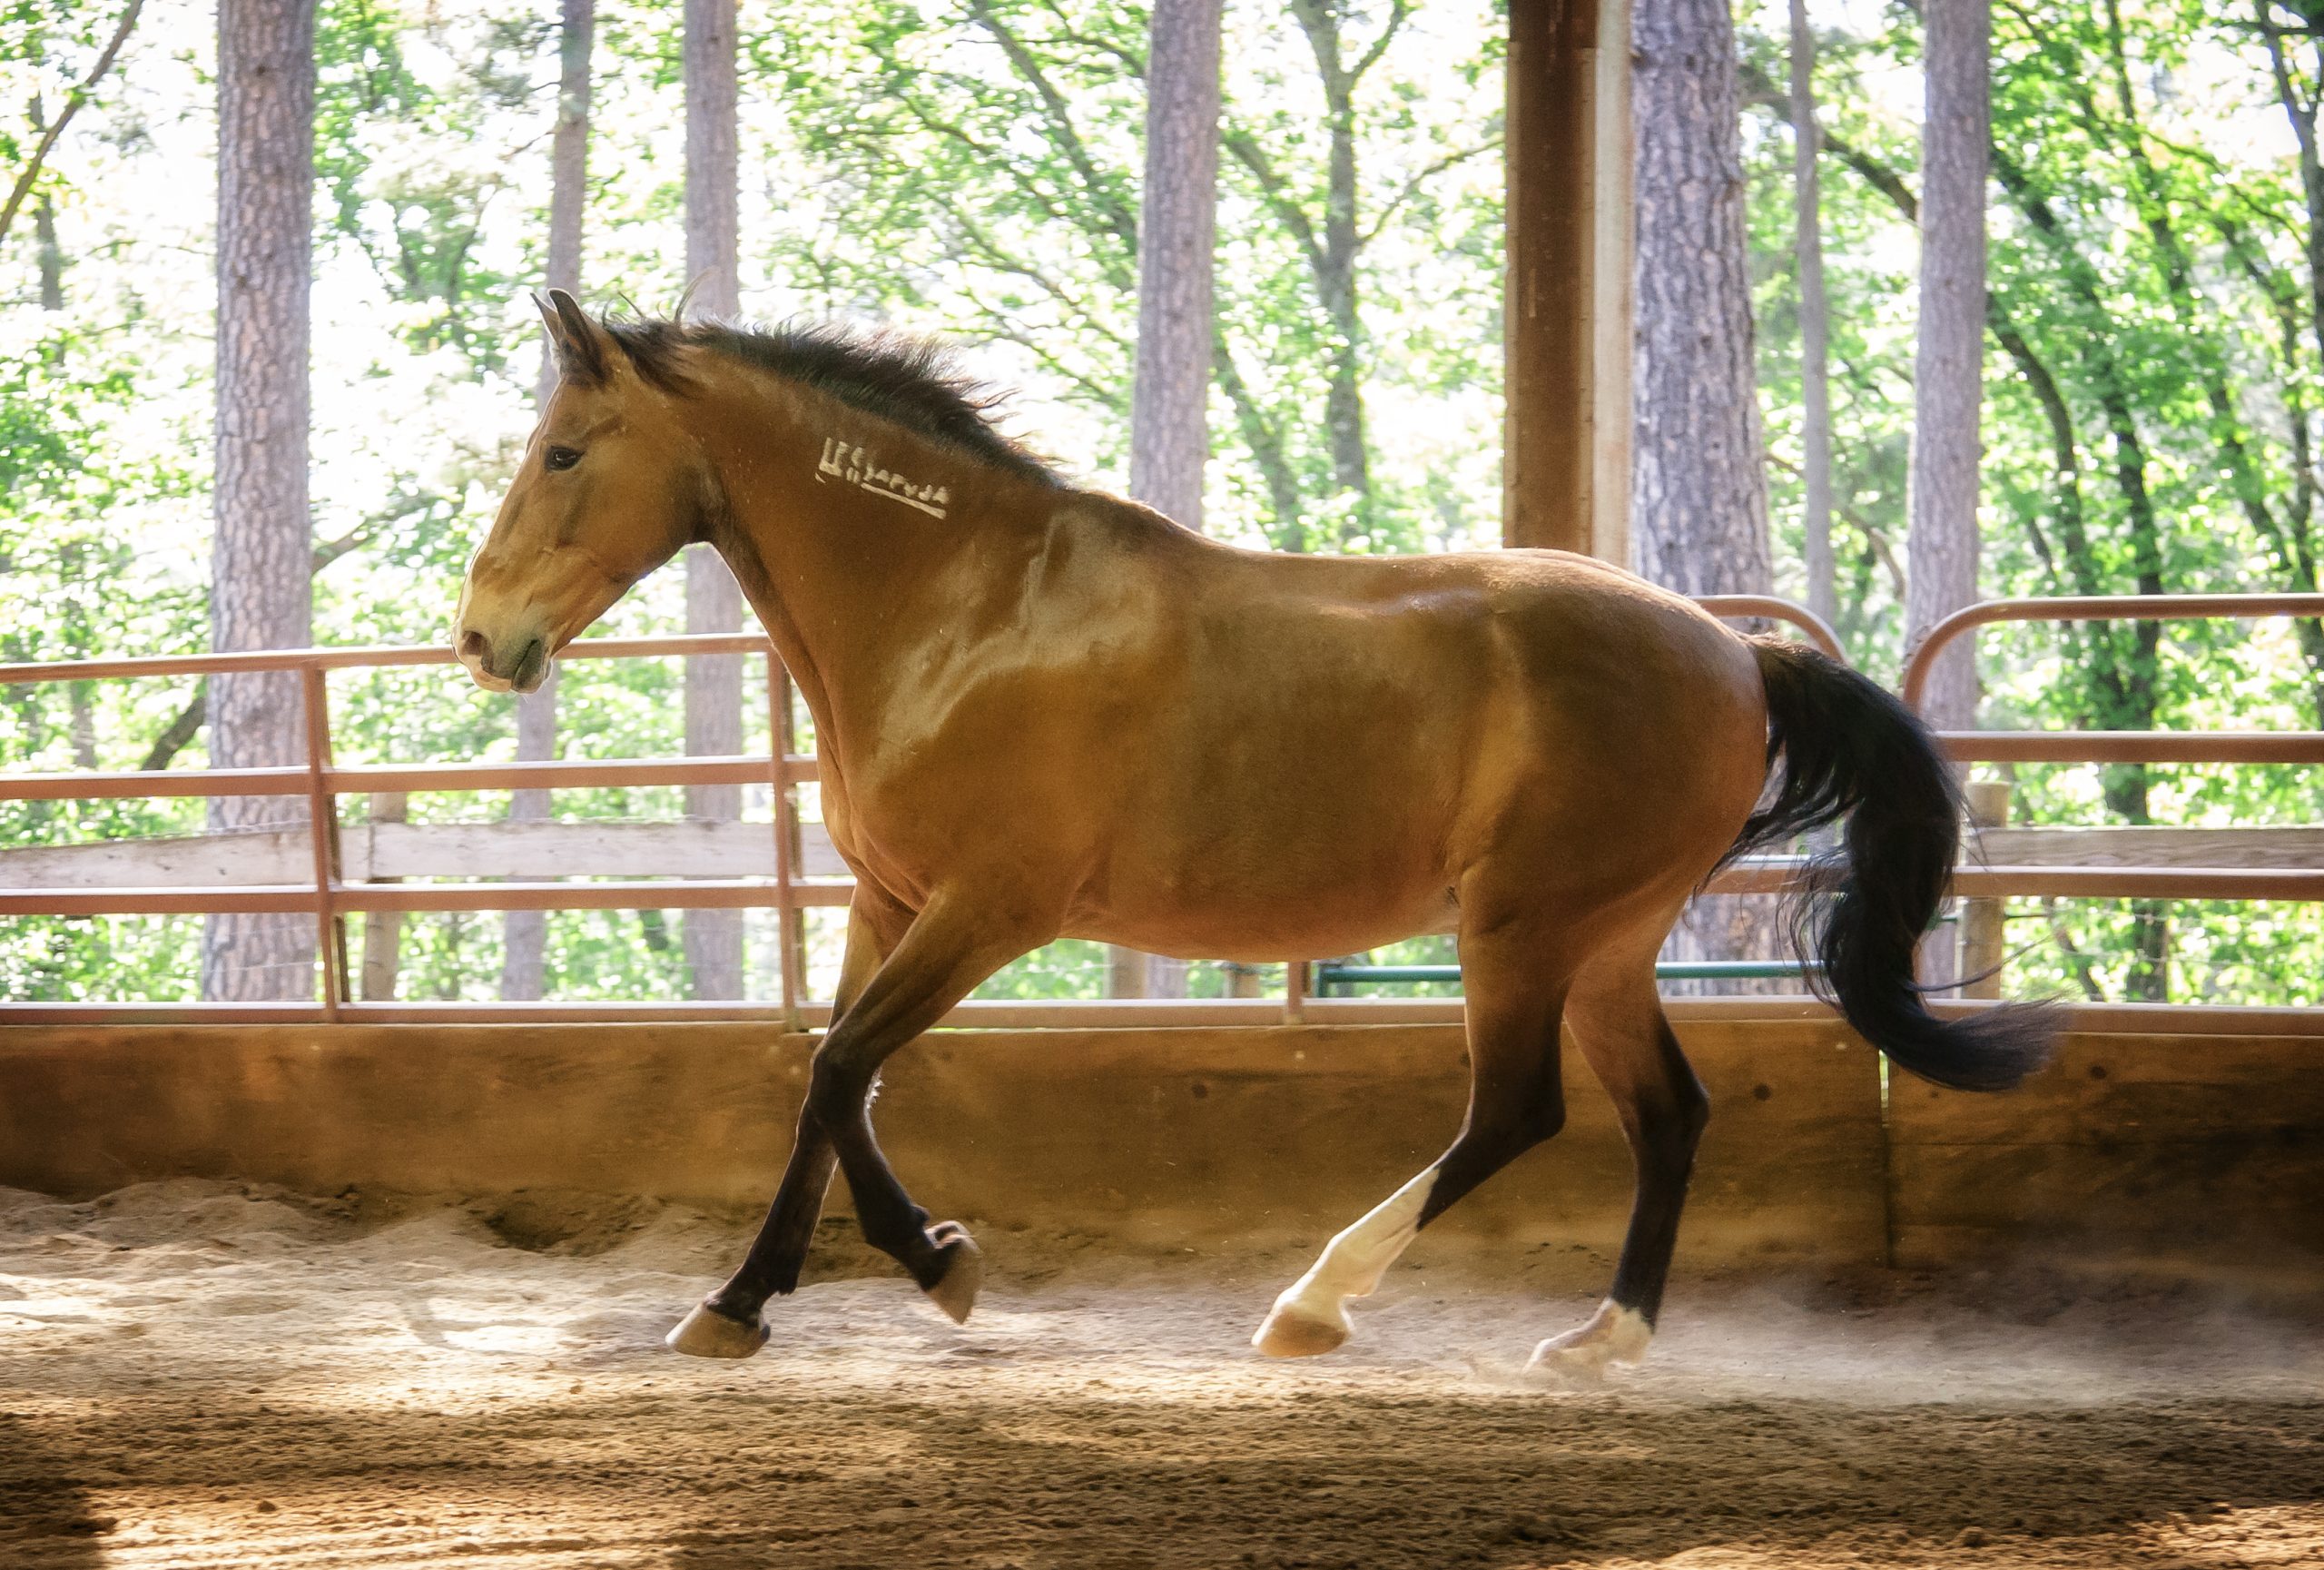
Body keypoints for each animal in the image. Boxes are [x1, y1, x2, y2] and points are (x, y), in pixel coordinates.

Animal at [455, 290, 2051, 1381]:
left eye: (564, 451)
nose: (482, 638)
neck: (966, 610)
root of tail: (1736, 654)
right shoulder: (885, 902)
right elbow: (823, 1086)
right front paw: (736, 1305)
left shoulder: (992, 910)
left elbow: (844, 1072)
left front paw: (940, 1267)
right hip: (1608, 939)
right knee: (1667, 1115)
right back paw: (1602, 1341)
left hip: (1525, 929)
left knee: (1518, 1110)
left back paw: (1315, 1303)